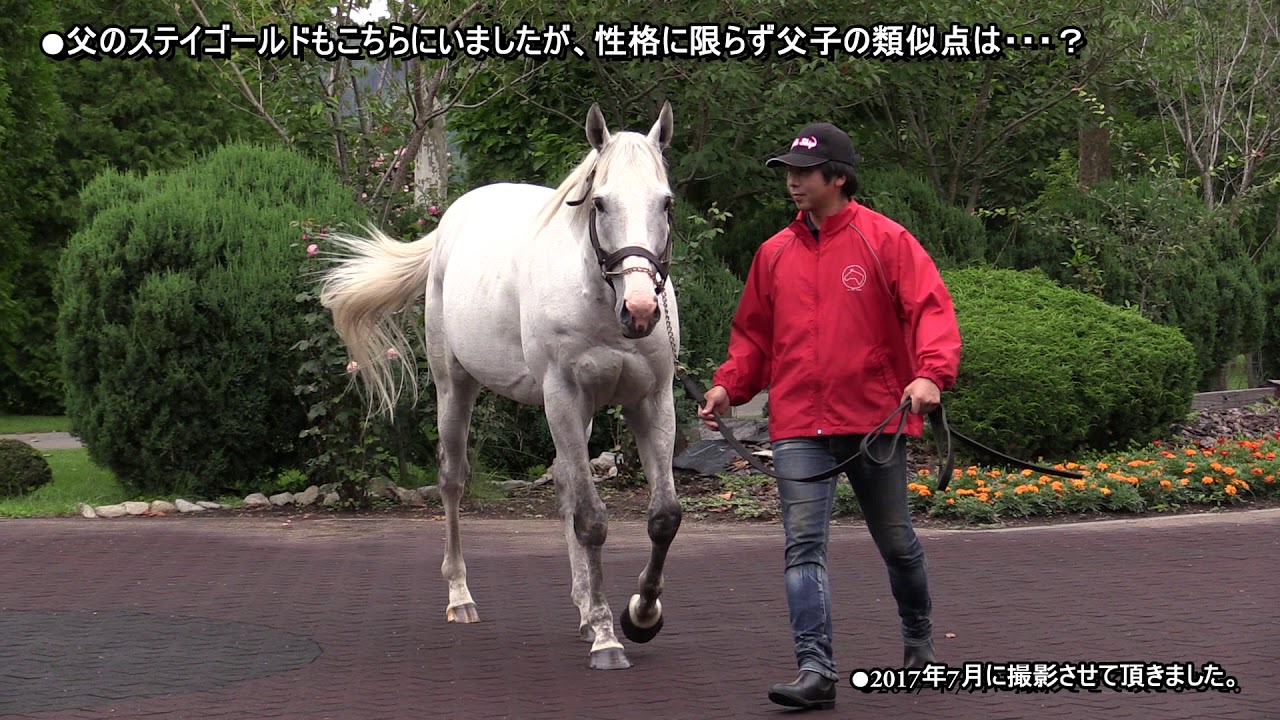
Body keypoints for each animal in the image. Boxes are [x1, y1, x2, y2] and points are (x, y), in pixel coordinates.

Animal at [317, 102, 682, 671]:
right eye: (600, 202)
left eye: (665, 203)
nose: (642, 310)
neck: (600, 303)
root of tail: (451, 222)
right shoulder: (562, 397)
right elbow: (592, 520)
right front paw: (607, 637)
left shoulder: (652, 401)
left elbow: (662, 516)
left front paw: (640, 615)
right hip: (455, 386)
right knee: (452, 480)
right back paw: (461, 598)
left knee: (563, 487)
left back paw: (582, 609)